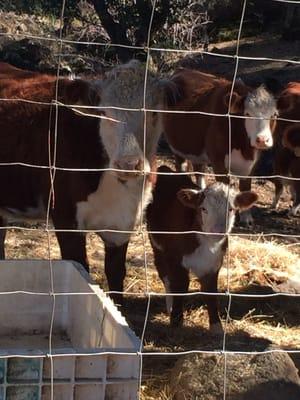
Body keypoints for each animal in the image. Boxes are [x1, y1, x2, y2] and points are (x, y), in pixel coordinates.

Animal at [0, 60, 170, 304]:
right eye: (103, 112)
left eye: (154, 113)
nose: (128, 163)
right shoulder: (65, 218)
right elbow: (81, 269)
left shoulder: (123, 223)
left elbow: (116, 275)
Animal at [146, 164, 256, 332]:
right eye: (203, 209)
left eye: (231, 209)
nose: (218, 231)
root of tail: (166, 168)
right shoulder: (175, 259)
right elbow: (180, 286)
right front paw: (176, 321)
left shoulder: (213, 264)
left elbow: (211, 293)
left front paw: (216, 326)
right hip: (157, 245)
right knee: (165, 275)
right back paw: (170, 306)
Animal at [163, 69, 278, 225]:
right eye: (247, 114)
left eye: (274, 115)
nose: (262, 140)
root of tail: (182, 71)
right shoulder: (218, 161)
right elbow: (225, 187)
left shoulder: (252, 162)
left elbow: (245, 185)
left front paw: (246, 218)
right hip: (177, 146)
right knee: (181, 166)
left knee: (199, 171)